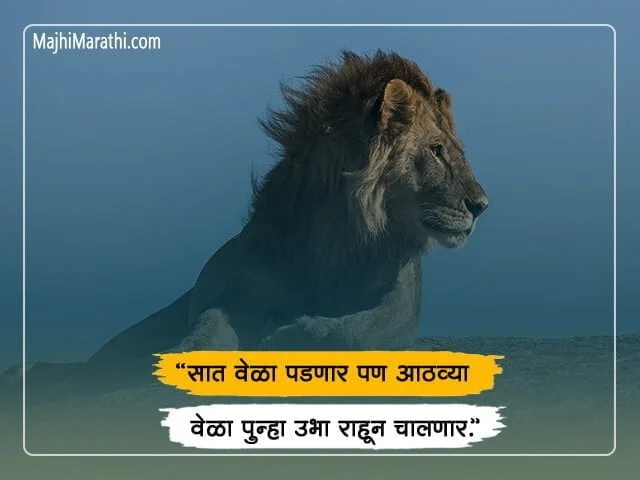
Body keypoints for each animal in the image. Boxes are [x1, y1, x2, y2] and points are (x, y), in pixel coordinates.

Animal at [2, 51, 489, 402]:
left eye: (456, 150)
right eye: (437, 150)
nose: (482, 205)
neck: (340, 240)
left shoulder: (402, 305)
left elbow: (357, 331)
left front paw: (294, 336)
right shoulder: (237, 292)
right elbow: (210, 325)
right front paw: (185, 353)